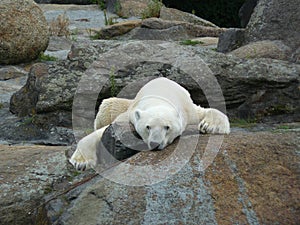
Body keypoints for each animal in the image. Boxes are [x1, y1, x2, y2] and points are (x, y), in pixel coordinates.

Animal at [69, 77, 230, 171]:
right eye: (148, 127)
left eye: (167, 127)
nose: (154, 143)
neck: (160, 97)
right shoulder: (130, 114)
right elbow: (102, 130)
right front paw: (81, 162)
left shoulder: (188, 110)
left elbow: (205, 112)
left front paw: (208, 126)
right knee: (107, 105)